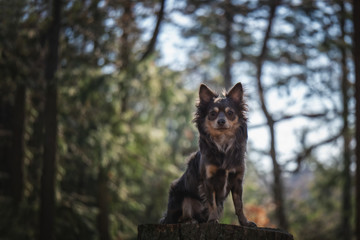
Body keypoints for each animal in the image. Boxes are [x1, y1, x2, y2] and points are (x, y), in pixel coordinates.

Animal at [160, 82, 256, 227]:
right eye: (212, 114)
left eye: (230, 113)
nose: (221, 121)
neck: (223, 144)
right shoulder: (208, 181)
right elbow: (211, 203)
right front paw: (212, 220)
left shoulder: (237, 181)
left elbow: (239, 205)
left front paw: (244, 222)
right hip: (182, 197)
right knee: (181, 217)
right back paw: (190, 220)